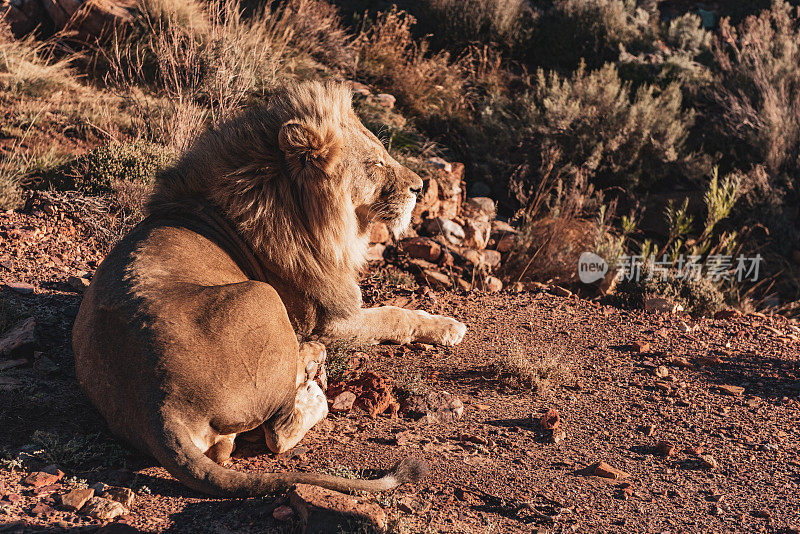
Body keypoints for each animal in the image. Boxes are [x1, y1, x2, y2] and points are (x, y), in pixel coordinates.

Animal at [72, 81, 468, 500]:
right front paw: (449, 327)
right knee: (278, 431)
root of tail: (160, 405)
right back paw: (314, 380)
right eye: (375, 163)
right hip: (262, 294)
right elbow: (394, 314)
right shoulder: (330, 320)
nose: (420, 187)